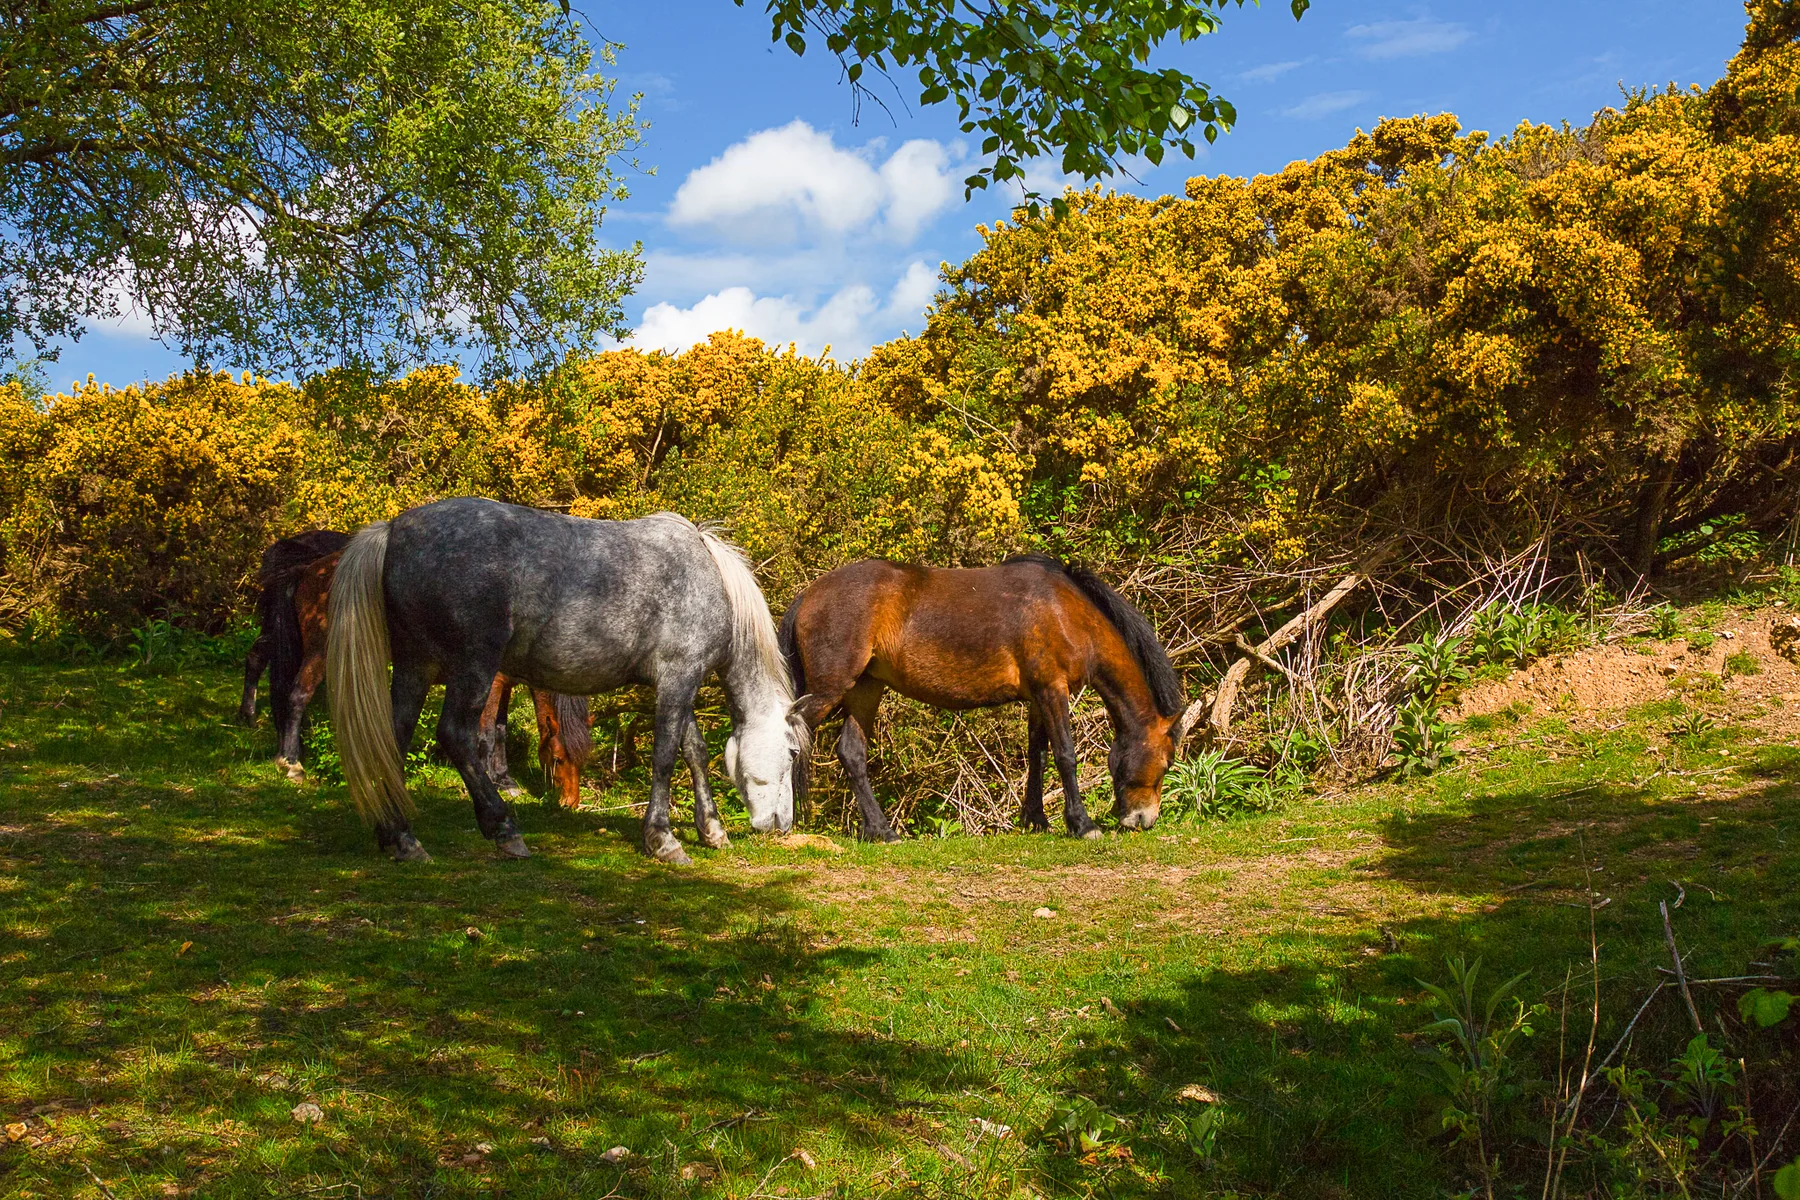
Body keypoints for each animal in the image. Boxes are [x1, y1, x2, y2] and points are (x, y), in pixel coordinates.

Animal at [245, 535, 592, 807]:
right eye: (558, 758)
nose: (570, 803)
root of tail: (309, 569)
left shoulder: (504, 684)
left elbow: (501, 731)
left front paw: (505, 781)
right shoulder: (490, 683)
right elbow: (485, 735)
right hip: (319, 653)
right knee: (297, 697)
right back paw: (292, 763)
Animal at [326, 497, 805, 864]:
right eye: (793, 753)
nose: (781, 825)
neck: (709, 577)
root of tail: (394, 530)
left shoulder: (675, 684)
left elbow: (695, 752)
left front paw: (711, 830)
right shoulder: (679, 677)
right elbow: (667, 756)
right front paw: (663, 839)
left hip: (414, 667)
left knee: (393, 737)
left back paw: (400, 837)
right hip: (472, 667)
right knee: (456, 736)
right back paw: (503, 829)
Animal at [778, 554, 1191, 841]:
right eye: (1168, 761)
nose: (1144, 819)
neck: (1064, 611)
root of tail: (810, 594)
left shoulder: (1038, 697)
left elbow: (1038, 756)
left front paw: (1036, 819)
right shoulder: (1052, 690)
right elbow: (1065, 755)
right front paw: (1082, 823)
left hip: (865, 689)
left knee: (851, 753)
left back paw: (882, 830)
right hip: (829, 690)